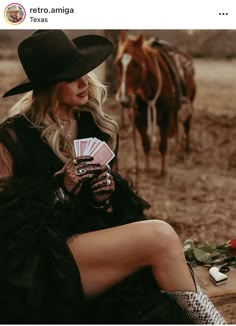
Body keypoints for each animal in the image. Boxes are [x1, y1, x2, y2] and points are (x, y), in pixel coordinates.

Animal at [115, 31, 195, 176]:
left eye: (136, 64)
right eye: (118, 63)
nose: (124, 98)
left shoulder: (166, 120)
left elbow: (162, 145)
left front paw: (163, 170)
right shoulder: (139, 121)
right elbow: (146, 143)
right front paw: (147, 168)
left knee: (186, 128)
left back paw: (185, 153)